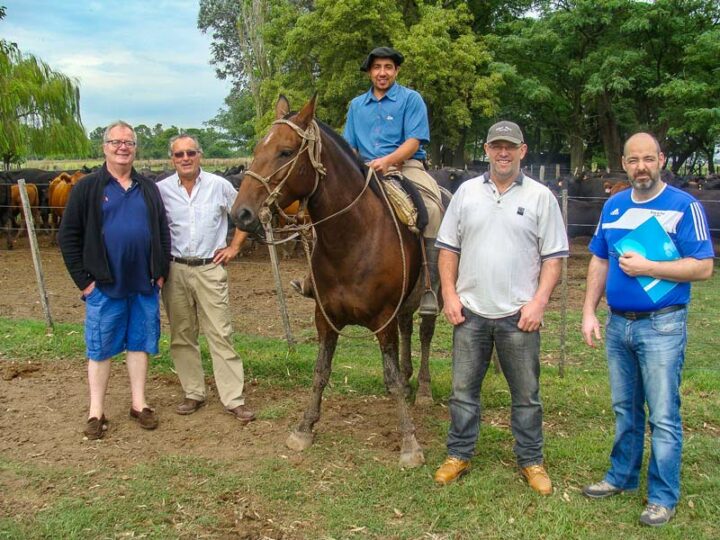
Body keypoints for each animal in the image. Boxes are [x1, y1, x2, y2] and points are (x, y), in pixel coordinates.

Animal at [231, 95, 438, 466]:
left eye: (285, 152)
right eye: (256, 149)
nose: (240, 214)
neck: (354, 239)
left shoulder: (382, 320)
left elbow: (390, 379)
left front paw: (409, 443)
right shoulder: (324, 318)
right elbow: (320, 372)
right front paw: (304, 428)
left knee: (425, 332)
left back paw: (425, 389)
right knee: (408, 327)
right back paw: (410, 376)